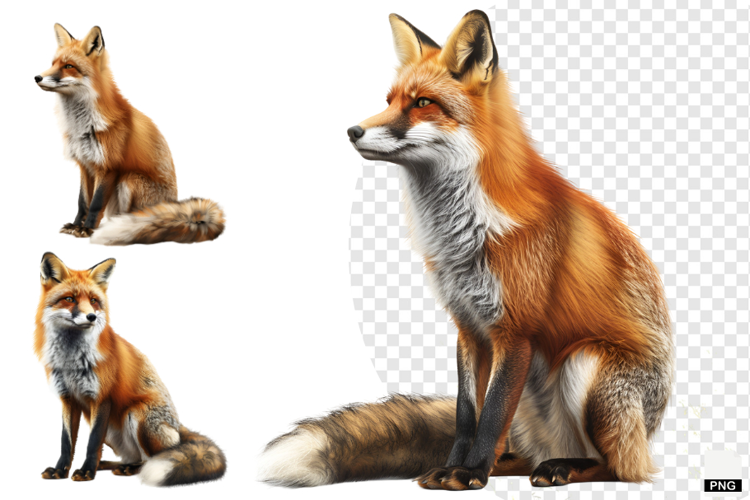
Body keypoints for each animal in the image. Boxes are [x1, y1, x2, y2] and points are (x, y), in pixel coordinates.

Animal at [35, 24, 225, 245]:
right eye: (53, 64)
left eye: (69, 66)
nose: (37, 77)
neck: (82, 126)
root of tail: (174, 205)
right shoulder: (85, 164)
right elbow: (82, 202)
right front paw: (76, 226)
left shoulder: (108, 166)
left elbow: (95, 203)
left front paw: (87, 229)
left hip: (129, 179)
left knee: (134, 218)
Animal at [35, 252, 227, 486]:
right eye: (69, 299)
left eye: (93, 301)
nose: (92, 317)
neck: (71, 361)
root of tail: (179, 428)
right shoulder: (68, 399)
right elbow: (66, 443)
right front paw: (60, 471)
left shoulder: (102, 397)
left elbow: (92, 443)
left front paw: (87, 472)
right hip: (112, 431)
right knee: (131, 456)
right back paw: (110, 465)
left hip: (137, 415)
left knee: (149, 459)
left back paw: (126, 469)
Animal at [258, 11, 674, 491]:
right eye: (389, 100)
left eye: (422, 103)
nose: (352, 131)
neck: (465, 233)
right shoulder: (469, 328)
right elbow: (465, 414)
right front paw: (456, 467)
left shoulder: (514, 332)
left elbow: (490, 414)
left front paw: (471, 473)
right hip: (532, 400)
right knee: (521, 453)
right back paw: (512, 463)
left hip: (584, 365)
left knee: (622, 467)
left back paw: (563, 467)